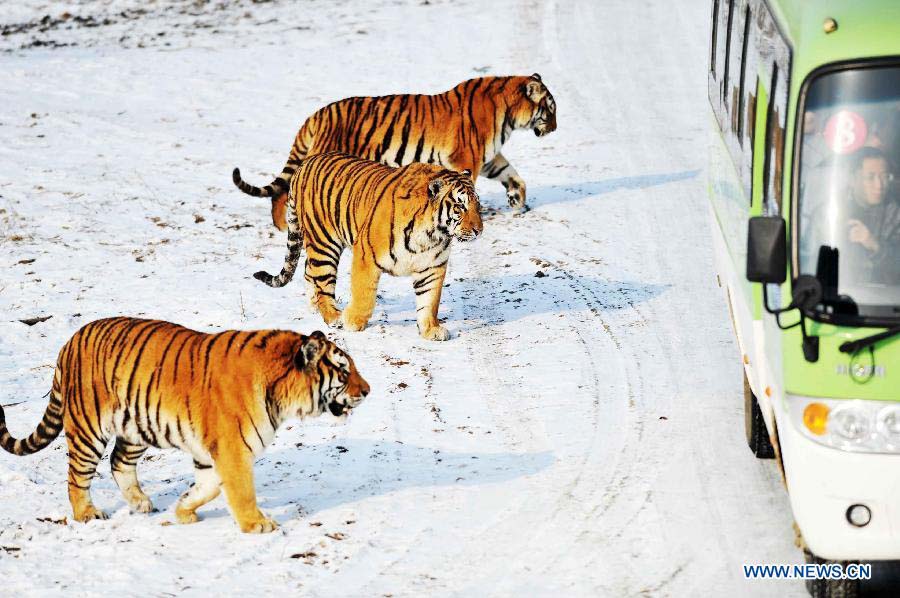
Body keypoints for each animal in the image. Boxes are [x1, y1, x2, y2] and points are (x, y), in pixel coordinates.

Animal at [0, 318, 370, 536]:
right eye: (344, 371)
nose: (367, 390)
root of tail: (71, 340)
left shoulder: (212, 453)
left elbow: (208, 488)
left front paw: (183, 511)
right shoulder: (233, 450)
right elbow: (241, 491)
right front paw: (257, 524)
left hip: (135, 426)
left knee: (119, 462)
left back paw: (140, 502)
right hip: (89, 427)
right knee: (77, 474)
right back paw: (87, 513)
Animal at [232, 71, 556, 230]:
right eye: (550, 109)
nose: (554, 127)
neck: (509, 117)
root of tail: (316, 114)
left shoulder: (488, 159)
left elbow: (514, 177)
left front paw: (517, 203)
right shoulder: (468, 157)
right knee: (285, 193)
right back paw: (284, 226)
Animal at [250, 152, 482, 342]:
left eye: (477, 205)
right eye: (460, 206)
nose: (479, 230)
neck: (431, 234)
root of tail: (305, 163)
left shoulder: (432, 266)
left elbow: (430, 300)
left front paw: (431, 330)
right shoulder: (366, 255)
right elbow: (364, 294)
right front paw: (353, 321)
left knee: (309, 272)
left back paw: (315, 306)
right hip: (324, 243)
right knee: (322, 282)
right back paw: (334, 316)